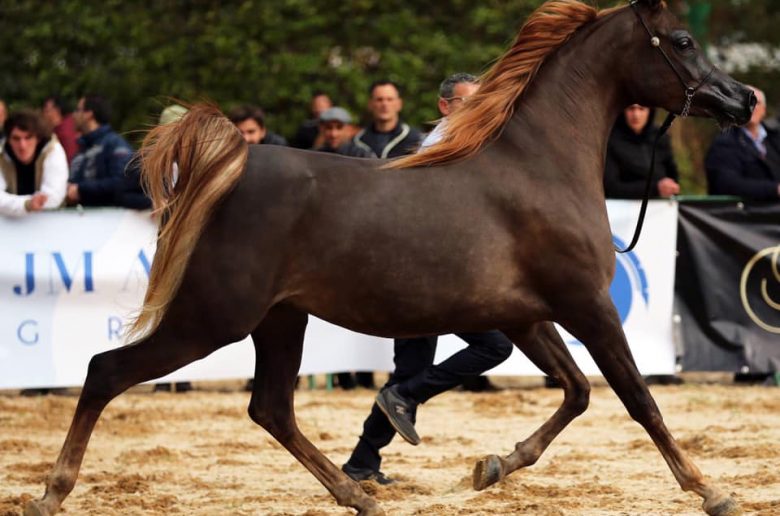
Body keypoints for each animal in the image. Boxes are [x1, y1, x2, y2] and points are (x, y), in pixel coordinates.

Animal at [25, 1, 754, 515]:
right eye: (682, 41)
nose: (743, 100)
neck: (538, 165)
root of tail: (234, 163)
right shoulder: (586, 304)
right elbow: (637, 398)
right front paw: (710, 490)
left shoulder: (523, 317)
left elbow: (576, 392)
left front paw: (492, 466)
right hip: (213, 318)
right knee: (105, 371)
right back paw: (51, 493)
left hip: (280, 319)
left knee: (271, 409)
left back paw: (359, 497)